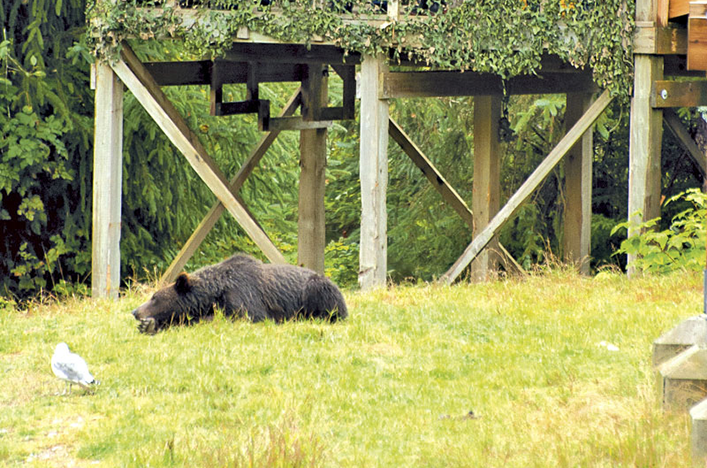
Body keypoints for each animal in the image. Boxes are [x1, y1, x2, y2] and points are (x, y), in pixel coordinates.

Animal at [131, 253, 348, 334]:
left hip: (317, 290)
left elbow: (247, 316)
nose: (135, 311)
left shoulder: (244, 294)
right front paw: (149, 325)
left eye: (154, 297)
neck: (215, 293)